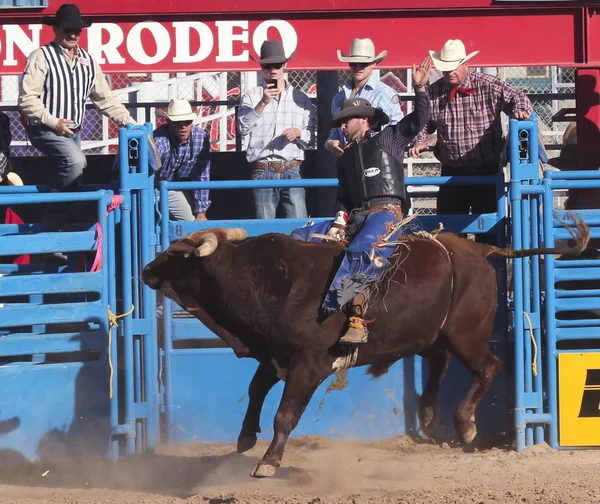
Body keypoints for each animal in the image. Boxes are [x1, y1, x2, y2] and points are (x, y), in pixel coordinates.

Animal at [143, 217, 588, 476]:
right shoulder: (274, 356)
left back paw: (465, 425)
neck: (266, 278)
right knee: (439, 365)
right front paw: (245, 438)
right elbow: (255, 391)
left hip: (468, 334)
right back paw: (428, 417)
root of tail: (476, 248)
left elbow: (285, 415)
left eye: (176, 252)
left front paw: (269, 461)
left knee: (487, 367)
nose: (146, 269)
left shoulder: (308, 366)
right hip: (432, 335)